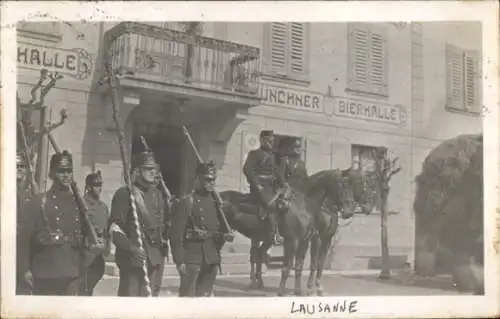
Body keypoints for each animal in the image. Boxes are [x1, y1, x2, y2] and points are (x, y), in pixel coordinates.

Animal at [221, 169, 362, 296]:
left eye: (354, 186)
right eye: (342, 185)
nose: (349, 211)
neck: (305, 206)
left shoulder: (308, 241)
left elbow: (302, 266)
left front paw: (299, 291)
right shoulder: (295, 241)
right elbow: (289, 267)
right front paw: (284, 291)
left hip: (264, 238)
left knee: (259, 254)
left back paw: (258, 282)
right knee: (254, 255)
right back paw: (254, 283)